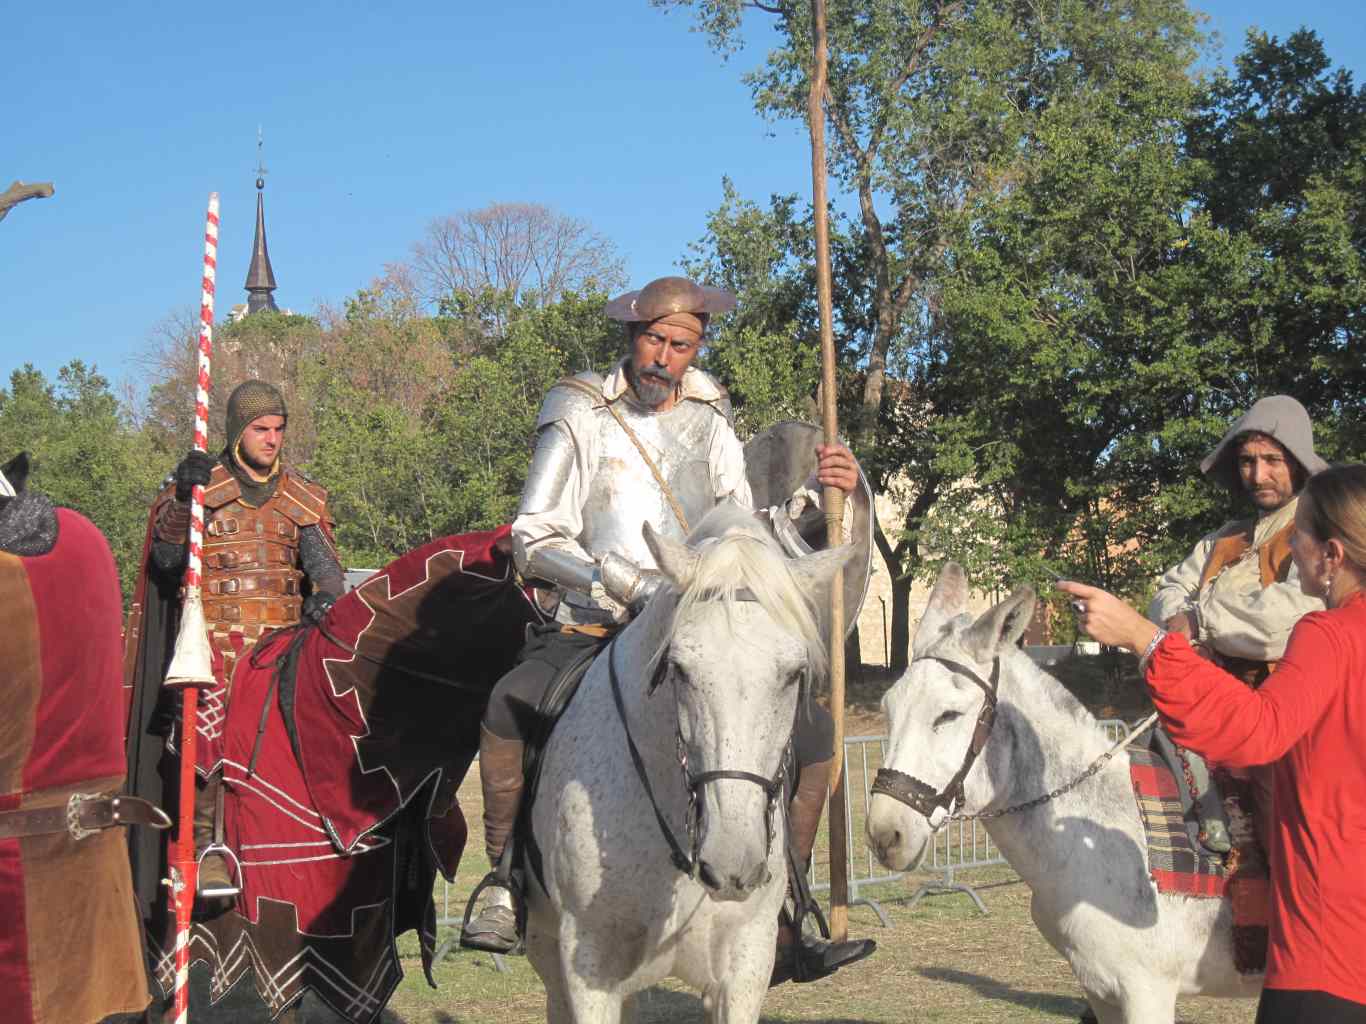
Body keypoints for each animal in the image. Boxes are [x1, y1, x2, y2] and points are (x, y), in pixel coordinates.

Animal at [524, 507, 852, 1024]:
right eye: (679, 669)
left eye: (795, 674)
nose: (732, 861)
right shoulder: (588, 966)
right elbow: (537, 541)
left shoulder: (745, 966)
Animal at [863, 565, 1256, 1021]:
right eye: (888, 709)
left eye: (948, 714)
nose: (885, 835)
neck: (1095, 837)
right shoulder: (1100, 991)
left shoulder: (1147, 990)